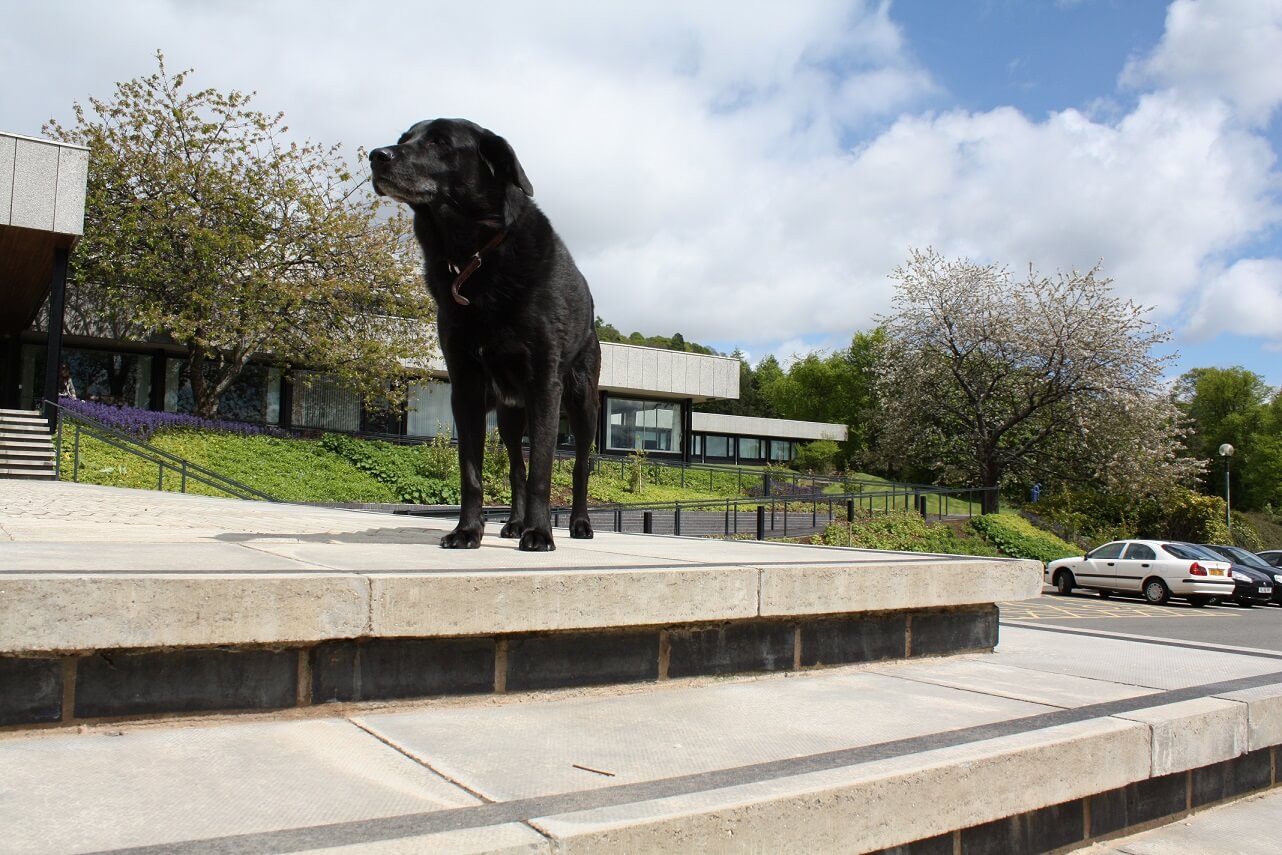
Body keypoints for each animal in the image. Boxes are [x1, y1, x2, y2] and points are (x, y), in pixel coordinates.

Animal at [366, 118, 594, 556]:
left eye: (439, 141)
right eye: (404, 139)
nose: (375, 155)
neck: (475, 257)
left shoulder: (545, 384)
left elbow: (543, 469)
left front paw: (539, 533)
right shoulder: (465, 386)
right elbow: (472, 473)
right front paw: (467, 531)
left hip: (582, 402)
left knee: (578, 468)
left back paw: (577, 524)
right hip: (509, 416)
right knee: (516, 468)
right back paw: (514, 523)